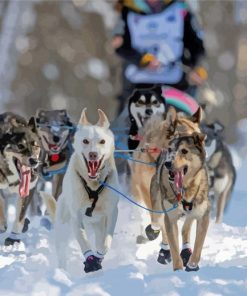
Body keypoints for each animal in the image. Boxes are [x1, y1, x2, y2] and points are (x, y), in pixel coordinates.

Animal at [0, 113, 41, 245]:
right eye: (20, 146)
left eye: (35, 146)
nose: (34, 161)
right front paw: (2, 225)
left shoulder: (29, 188)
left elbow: (20, 216)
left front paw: (13, 238)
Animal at [41, 108, 119, 272]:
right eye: (85, 141)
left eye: (102, 141)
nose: (93, 154)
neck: (93, 185)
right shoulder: (76, 216)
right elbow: (83, 240)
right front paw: (90, 260)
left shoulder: (112, 212)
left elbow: (105, 242)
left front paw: (98, 257)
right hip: (63, 229)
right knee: (62, 253)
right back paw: (62, 272)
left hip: (98, 224)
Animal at [150, 133, 209, 272]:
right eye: (170, 149)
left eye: (184, 151)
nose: (167, 163)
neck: (185, 189)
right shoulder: (170, 217)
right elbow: (174, 247)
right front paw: (178, 270)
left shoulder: (203, 215)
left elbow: (198, 246)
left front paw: (192, 265)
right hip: (157, 211)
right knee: (159, 224)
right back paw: (164, 251)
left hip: (192, 212)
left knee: (185, 228)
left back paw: (186, 251)